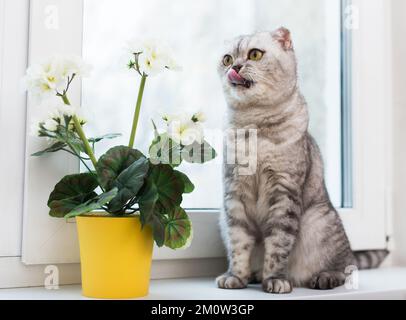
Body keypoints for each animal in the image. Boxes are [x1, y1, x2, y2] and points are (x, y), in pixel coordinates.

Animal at [217, 27, 388, 292]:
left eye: (254, 54)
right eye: (226, 59)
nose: (234, 66)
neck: (253, 126)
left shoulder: (284, 192)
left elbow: (278, 246)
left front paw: (275, 279)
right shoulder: (234, 195)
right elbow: (239, 244)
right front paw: (236, 276)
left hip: (318, 222)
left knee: (346, 267)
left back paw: (324, 277)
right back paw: (254, 275)